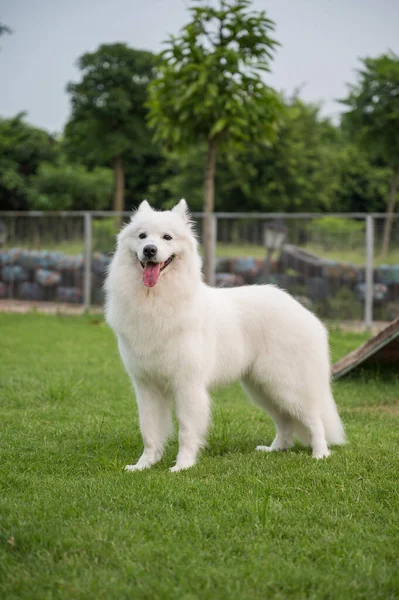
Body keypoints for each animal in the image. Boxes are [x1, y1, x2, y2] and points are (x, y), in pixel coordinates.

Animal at [104, 199, 346, 472]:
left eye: (167, 237)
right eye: (142, 236)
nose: (149, 250)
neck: (155, 301)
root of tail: (304, 311)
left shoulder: (187, 385)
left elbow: (186, 430)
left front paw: (182, 466)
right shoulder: (146, 387)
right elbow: (149, 431)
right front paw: (144, 465)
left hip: (285, 385)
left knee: (314, 419)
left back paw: (320, 454)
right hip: (262, 388)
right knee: (285, 421)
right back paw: (274, 450)